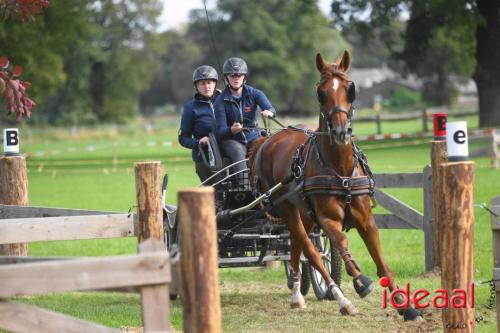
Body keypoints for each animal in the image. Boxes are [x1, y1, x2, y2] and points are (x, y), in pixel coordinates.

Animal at [249, 51, 422, 320]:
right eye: (321, 92)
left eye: (350, 89)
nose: (342, 130)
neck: (340, 170)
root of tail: (269, 139)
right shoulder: (328, 219)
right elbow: (341, 243)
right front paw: (361, 280)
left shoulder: (365, 219)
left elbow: (382, 262)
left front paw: (405, 306)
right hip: (287, 209)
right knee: (311, 251)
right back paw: (341, 300)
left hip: (305, 212)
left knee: (297, 245)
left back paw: (297, 293)